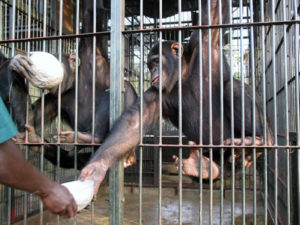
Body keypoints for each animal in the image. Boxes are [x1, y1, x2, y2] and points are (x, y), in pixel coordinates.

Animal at [79, 30, 274, 194]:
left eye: (157, 61)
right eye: (149, 65)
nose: (153, 71)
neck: (183, 76)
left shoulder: (203, 44)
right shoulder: (155, 94)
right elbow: (134, 124)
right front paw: (97, 168)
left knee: (234, 88)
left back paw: (259, 141)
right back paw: (203, 167)